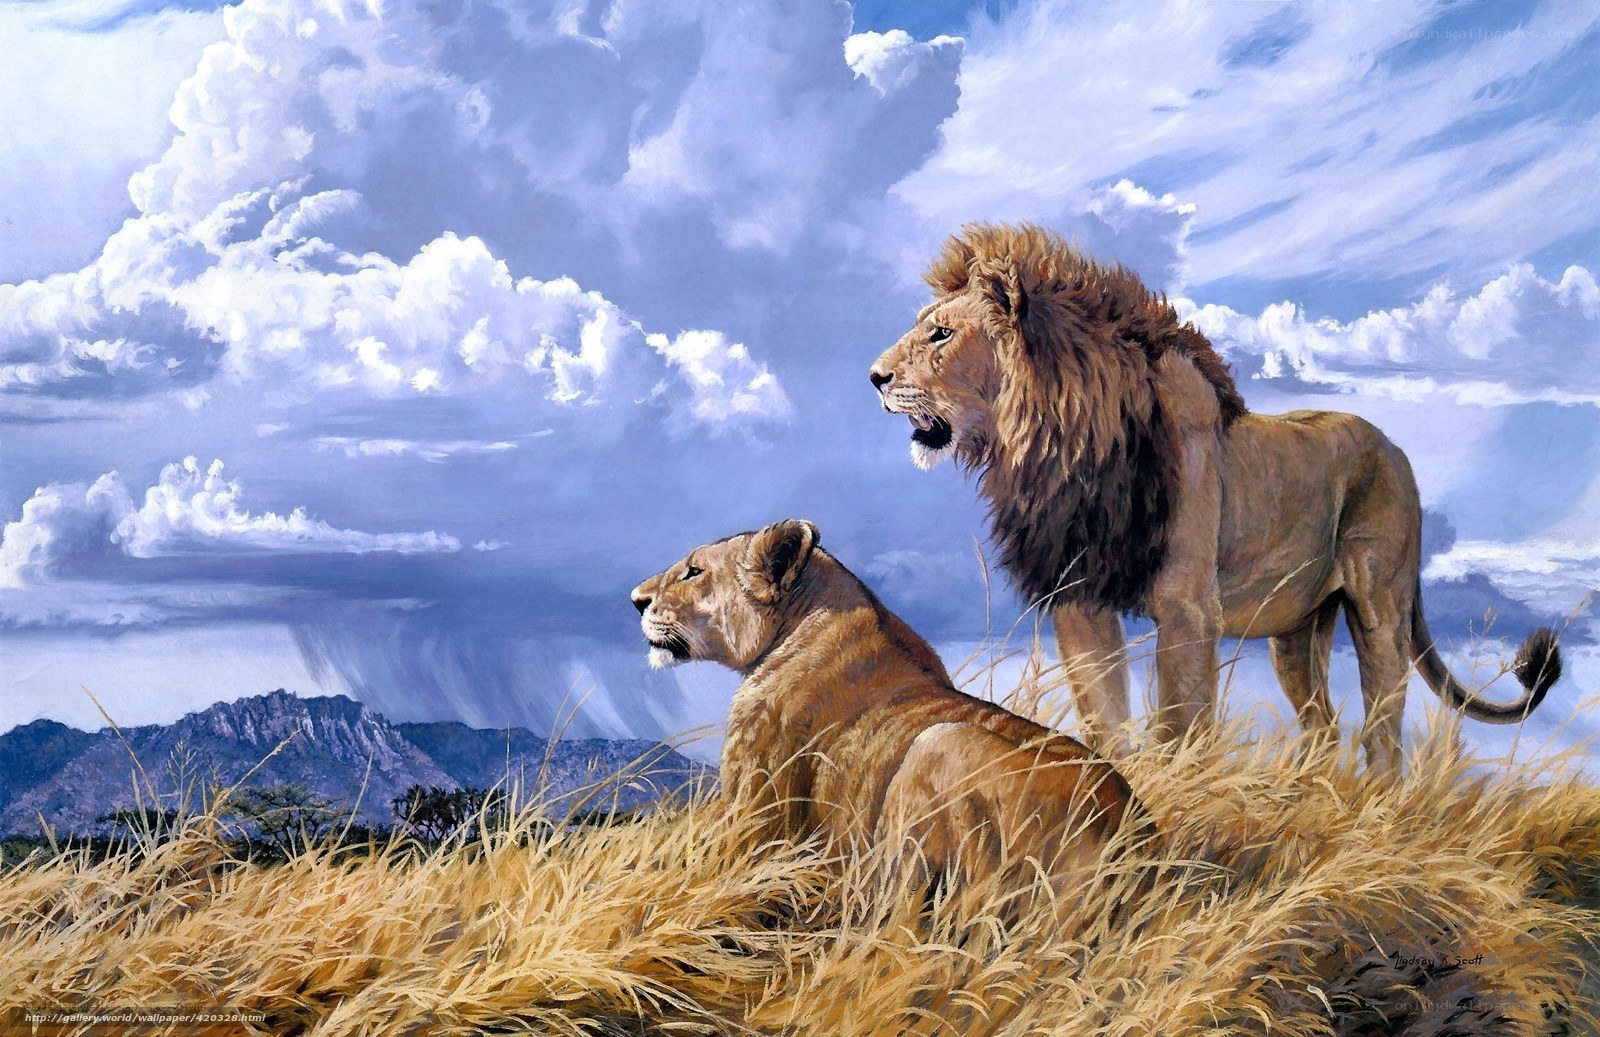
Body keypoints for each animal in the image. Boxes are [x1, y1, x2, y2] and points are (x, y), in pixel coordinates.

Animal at [868, 222, 1562, 774]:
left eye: (939, 334)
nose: (874, 377)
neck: (1063, 445)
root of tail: (1395, 449)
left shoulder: (1186, 609)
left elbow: (1179, 729)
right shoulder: (1080, 599)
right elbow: (1106, 721)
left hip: (1379, 607)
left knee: (1384, 731)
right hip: (1298, 628)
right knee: (1323, 728)